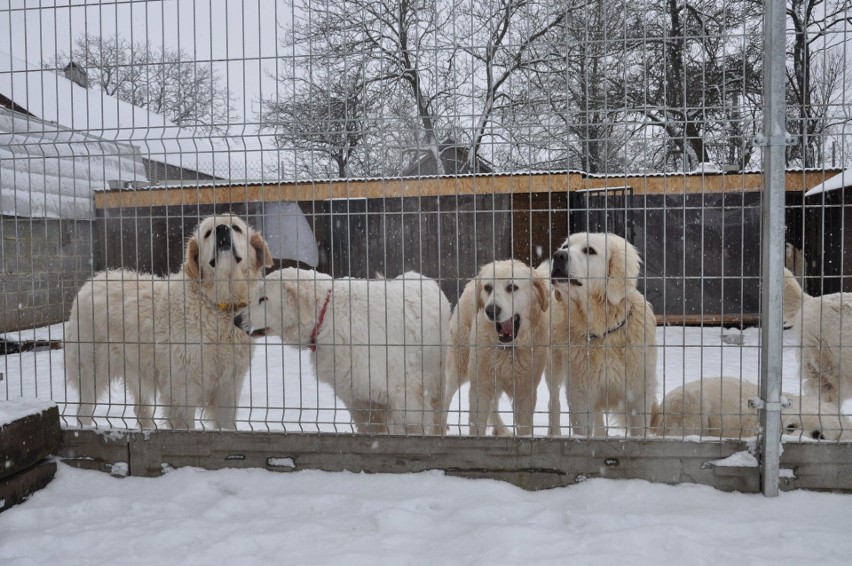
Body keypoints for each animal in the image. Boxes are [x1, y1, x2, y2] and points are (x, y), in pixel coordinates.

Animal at [236, 270, 450, 434]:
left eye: (263, 299)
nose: (236, 320)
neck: (326, 316)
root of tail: (422, 277)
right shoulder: (357, 396)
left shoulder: (404, 391)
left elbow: (413, 428)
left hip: (437, 378)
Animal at [446, 260, 552, 438]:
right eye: (488, 288)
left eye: (512, 287)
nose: (491, 311)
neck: (508, 349)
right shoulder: (480, 388)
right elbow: (477, 427)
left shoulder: (525, 393)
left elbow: (524, 429)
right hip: (460, 367)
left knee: (494, 404)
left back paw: (501, 430)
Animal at [548, 233, 664, 438]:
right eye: (565, 246)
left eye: (590, 250)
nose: (558, 255)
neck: (603, 332)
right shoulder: (580, 396)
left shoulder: (639, 394)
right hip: (555, 367)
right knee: (553, 402)